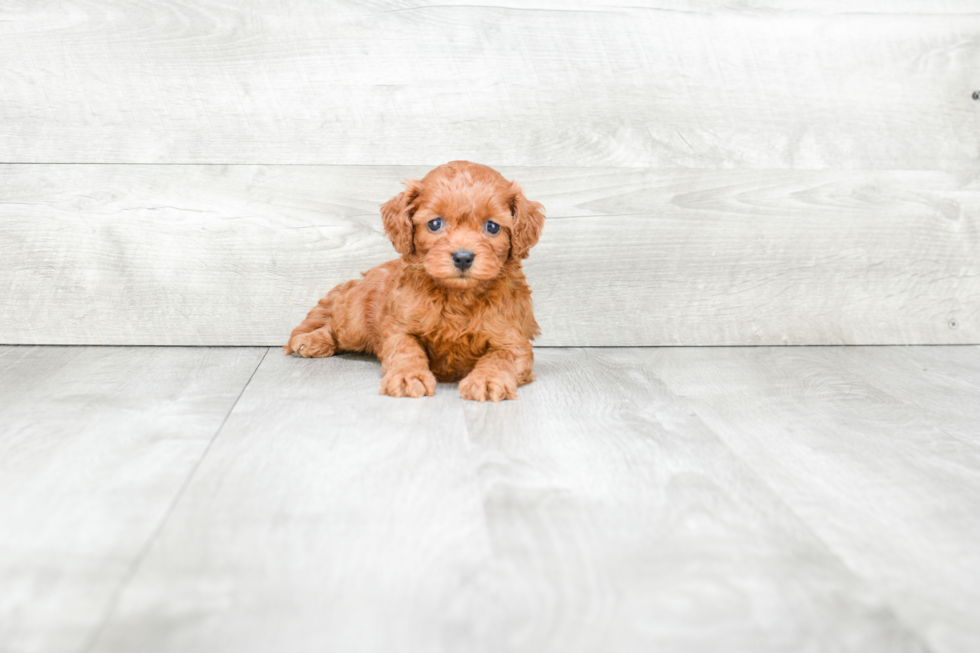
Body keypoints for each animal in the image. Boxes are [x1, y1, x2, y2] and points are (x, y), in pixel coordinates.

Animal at [284, 160, 548, 400]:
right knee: (335, 327)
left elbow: (501, 358)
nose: (463, 257)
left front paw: (487, 379)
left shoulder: (513, 340)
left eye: (492, 226)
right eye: (435, 223)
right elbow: (406, 350)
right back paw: (312, 340)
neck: (457, 295)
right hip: (355, 321)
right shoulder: (399, 327)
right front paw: (407, 376)